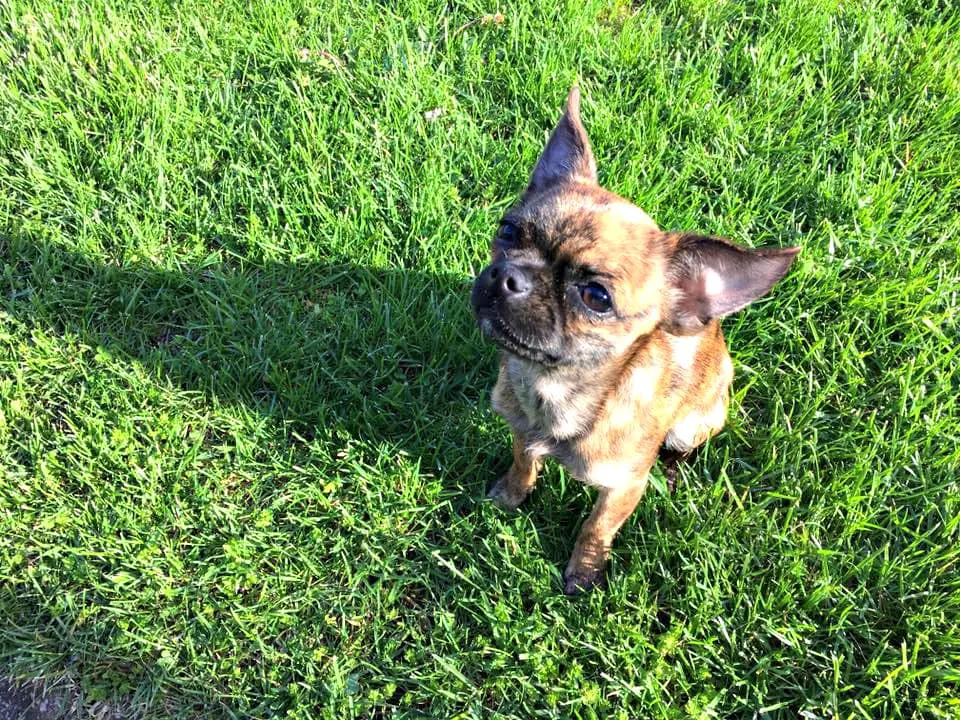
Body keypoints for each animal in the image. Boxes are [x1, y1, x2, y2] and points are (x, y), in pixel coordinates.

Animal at [468, 86, 800, 596]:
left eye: (596, 297)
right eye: (507, 231)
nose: (509, 276)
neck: (555, 389)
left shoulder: (623, 488)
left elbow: (596, 526)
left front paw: (583, 573)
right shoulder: (521, 432)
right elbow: (523, 464)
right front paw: (508, 496)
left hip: (693, 425)